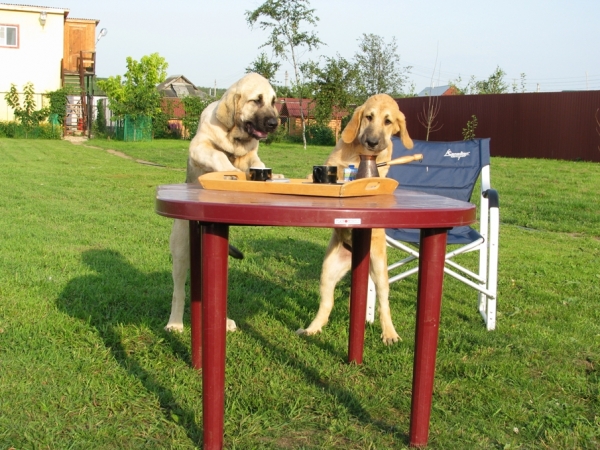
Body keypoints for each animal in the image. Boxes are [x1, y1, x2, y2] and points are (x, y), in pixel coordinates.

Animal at [165, 74, 280, 332]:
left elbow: (258, 163)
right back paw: (175, 323)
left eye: (273, 102)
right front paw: (230, 171)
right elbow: (218, 155)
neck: (234, 139)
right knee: (178, 291)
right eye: (256, 100)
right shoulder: (199, 146)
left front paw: (271, 175)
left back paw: (224, 321)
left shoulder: (251, 156)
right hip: (181, 250)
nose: (274, 123)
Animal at [296, 92, 412, 344]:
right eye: (368, 117)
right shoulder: (332, 164)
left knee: (384, 304)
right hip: (328, 271)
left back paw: (390, 333)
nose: (372, 142)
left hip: (380, 271)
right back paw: (312, 329)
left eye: (388, 122)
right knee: (326, 305)